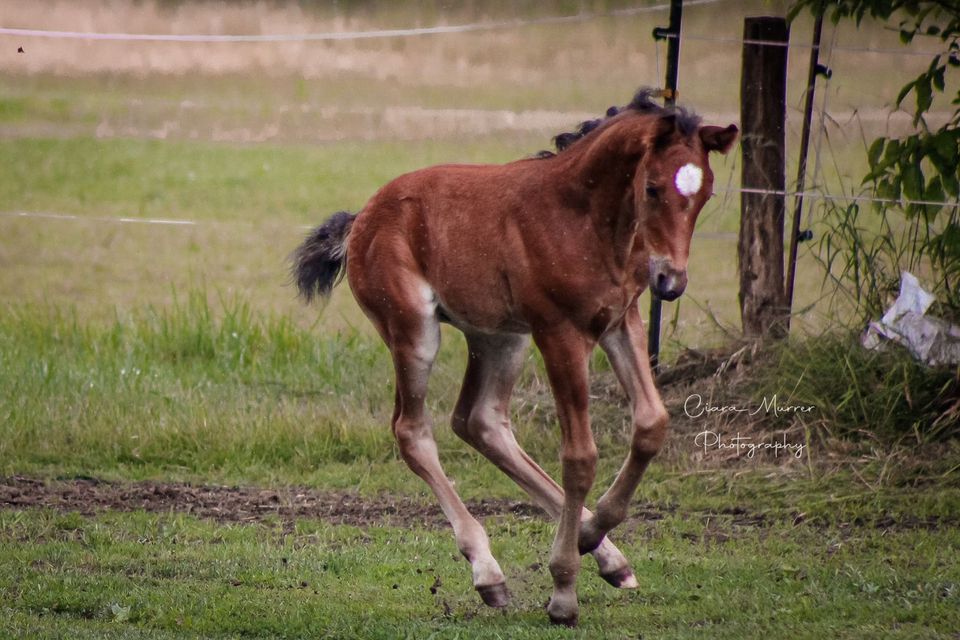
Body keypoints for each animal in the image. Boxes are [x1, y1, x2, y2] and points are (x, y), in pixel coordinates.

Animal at [290, 90, 736, 624]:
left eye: (705, 194)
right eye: (651, 188)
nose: (670, 282)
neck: (583, 220)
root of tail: (361, 219)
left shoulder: (619, 321)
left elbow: (651, 425)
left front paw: (591, 536)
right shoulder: (559, 333)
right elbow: (580, 457)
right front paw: (564, 590)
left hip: (499, 337)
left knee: (480, 421)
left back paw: (608, 559)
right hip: (414, 331)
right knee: (413, 431)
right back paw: (489, 573)